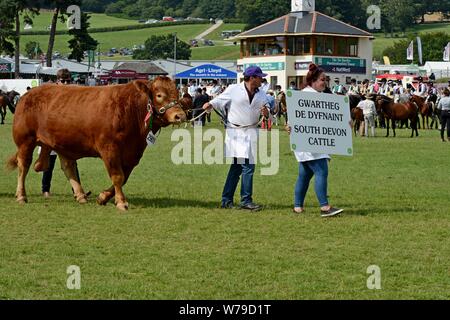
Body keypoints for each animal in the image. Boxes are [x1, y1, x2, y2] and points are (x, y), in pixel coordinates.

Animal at [7, 75, 186, 210]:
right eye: (159, 95)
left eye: (178, 94)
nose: (180, 115)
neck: (131, 109)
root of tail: (26, 95)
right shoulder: (109, 148)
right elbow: (118, 176)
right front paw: (121, 202)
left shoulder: (133, 154)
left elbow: (124, 177)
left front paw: (103, 197)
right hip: (25, 141)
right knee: (24, 165)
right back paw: (21, 196)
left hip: (62, 143)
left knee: (68, 166)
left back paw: (80, 195)